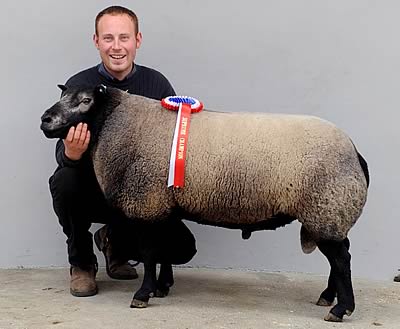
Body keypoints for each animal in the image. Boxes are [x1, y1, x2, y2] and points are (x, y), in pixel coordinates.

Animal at [39, 83, 368, 322]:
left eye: (85, 101)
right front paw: (162, 287)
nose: (45, 120)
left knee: (342, 259)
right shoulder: (161, 204)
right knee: (340, 256)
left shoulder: (146, 201)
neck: (119, 122)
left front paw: (143, 294)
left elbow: (149, 253)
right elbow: (164, 250)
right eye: (62, 95)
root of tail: (354, 152)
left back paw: (341, 309)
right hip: (330, 212)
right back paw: (328, 296)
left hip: (326, 206)